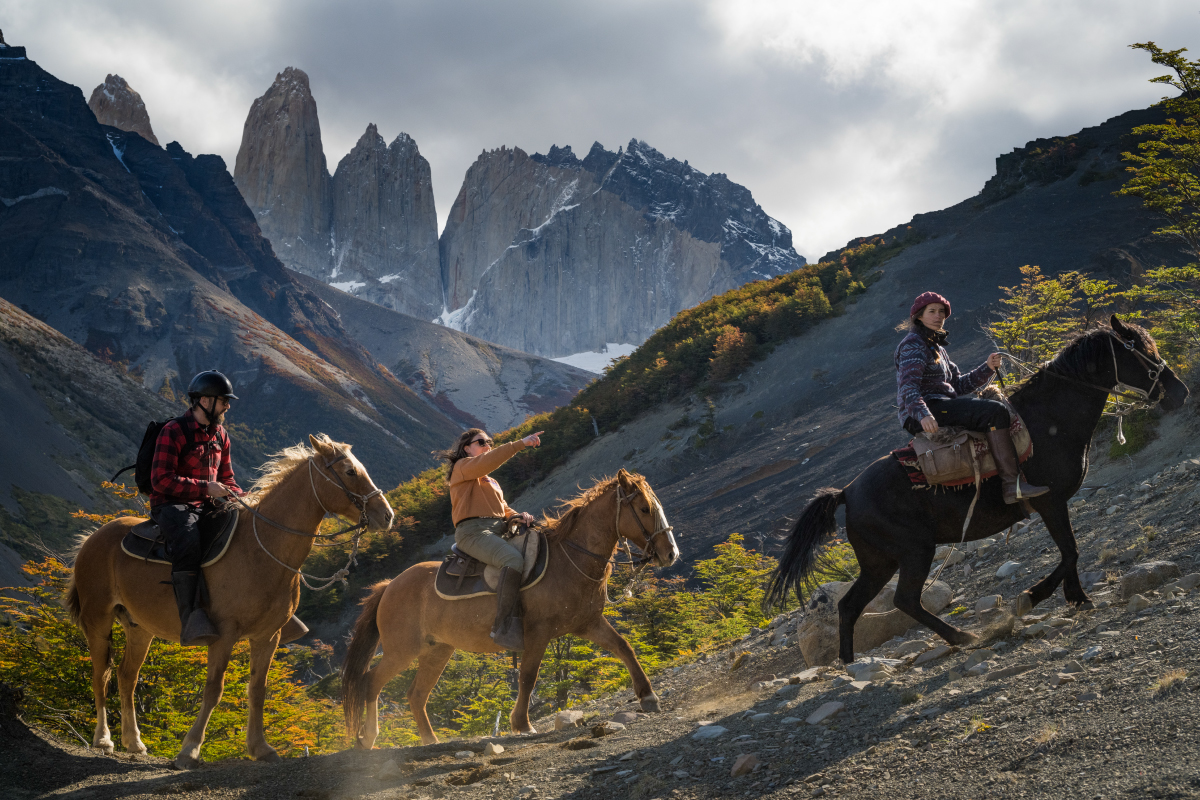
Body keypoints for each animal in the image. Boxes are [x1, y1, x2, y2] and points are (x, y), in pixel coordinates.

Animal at [66, 438, 393, 767]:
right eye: (350, 471)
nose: (386, 515)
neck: (261, 549)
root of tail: (92, 538)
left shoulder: (268, 636)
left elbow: (258, 690)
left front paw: (260, 748)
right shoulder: (223, 635)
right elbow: (214, 690)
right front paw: (190, 749)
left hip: (139, 629)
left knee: (126, 677)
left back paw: (133, 742)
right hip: (98, 620)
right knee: (101, 675)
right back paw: (104, 739)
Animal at [343, 465, 681, 748]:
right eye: (644, 509)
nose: (670, 553)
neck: (568, 559)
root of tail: (389, 586)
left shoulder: (588, 624)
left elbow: (624, 647)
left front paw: (648, 696)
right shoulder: (538, 633)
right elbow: (528, 676)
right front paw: (522, 723)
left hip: (436, 651)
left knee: (415, 696)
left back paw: (429, 739)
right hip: (403, 650)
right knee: (371, 683)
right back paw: (368, 738)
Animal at [768, 316, 1190, 666]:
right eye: (1141, 350)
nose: (1181, 392)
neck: (1048, 421)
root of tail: (846, 492)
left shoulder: (1054, 505)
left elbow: (1070, 551)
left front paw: (1073, 598)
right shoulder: (1049, 501)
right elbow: (1070, 550)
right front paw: (1037, 597)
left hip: (879, 562)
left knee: (850, 606)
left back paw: (850, 662)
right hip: (913, 551)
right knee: (905, 599)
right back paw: (961, 637)